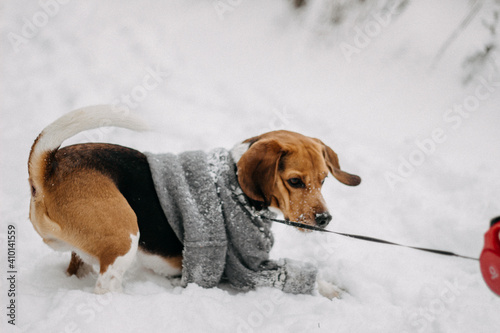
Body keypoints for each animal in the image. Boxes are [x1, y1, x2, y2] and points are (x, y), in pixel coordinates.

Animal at [28, 105, 360, 296]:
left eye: (324, 180)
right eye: (294, 182)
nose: (325, 220)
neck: (235, 181)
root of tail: (49, 169)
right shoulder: (250, 269)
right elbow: (305, 277)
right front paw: (333, 290)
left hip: (88, 252)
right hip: (125, 237)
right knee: (105, 288)